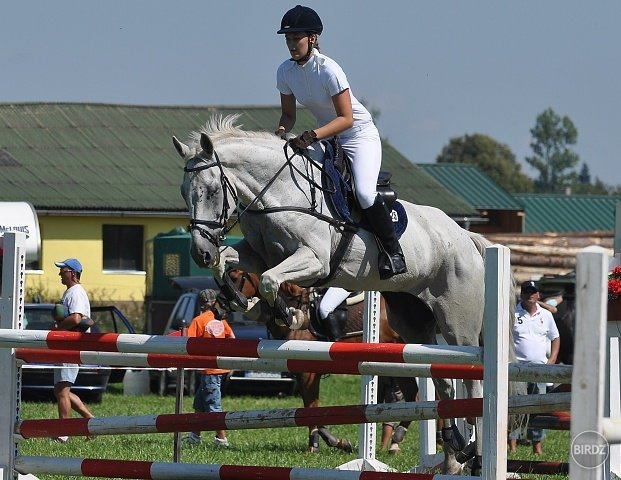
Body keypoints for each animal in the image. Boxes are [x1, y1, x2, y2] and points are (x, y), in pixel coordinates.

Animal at [225, 270, 418, 454]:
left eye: (234, 277)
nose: (221, 307)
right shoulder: (301, 374)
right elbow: (313, 411)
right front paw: (338, 442)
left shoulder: (308, 374)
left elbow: (311, 407)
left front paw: (314, 446)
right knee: (412, 394)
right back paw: (396, 440)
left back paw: (397, 437)